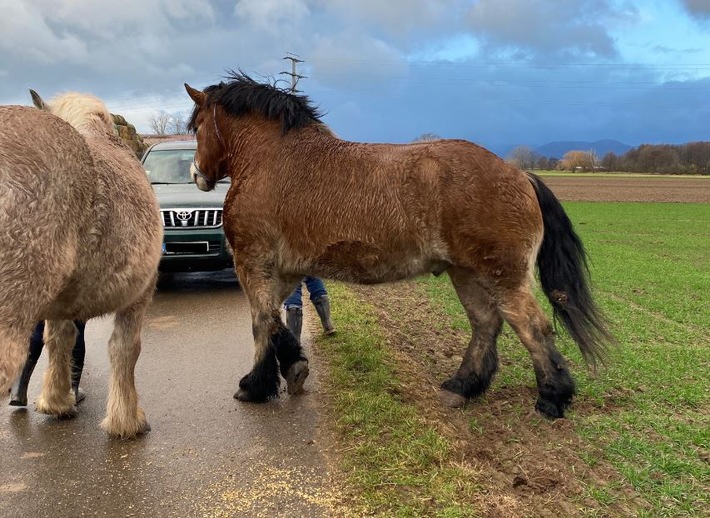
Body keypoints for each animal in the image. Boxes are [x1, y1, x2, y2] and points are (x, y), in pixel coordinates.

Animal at [0, 92, 163, 438]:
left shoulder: (61, 306)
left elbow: (59, 341)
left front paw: (57, 401)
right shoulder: (140, 294)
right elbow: (124, 349)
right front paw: (127, 421)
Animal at [186, 73, 616, 420]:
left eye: (197, 125)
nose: (197, 174)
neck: (274, 158)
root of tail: (519, 174)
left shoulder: (254, 264)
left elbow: (262, 323)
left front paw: (254, 385)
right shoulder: (285, 271)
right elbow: (276, 324)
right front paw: (293, 368)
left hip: (503, 276)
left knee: (531, 326)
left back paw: (553, 398)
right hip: (466, 272)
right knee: (486, 323)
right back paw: (462, 386)